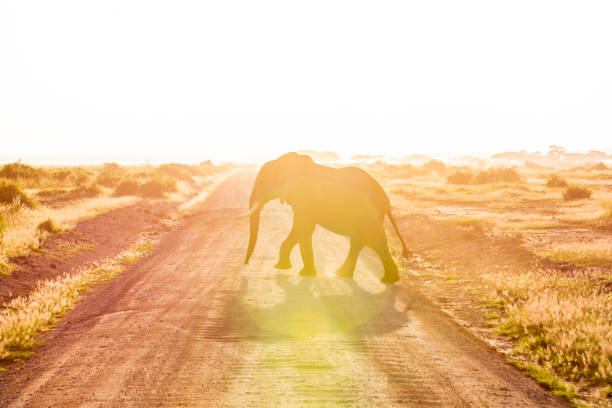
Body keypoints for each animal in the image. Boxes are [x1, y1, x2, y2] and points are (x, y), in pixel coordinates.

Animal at [241, 152, 408, 284]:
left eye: (263, 182)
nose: (246, 264)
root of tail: (386, 201)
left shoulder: (304, 196)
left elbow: (304, 228)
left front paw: (303, 273)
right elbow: (302, 229)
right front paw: (284, 268)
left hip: (368, 214)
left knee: (373, 241)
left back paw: (387, 280)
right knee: (359, 241)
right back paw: (342, 274)